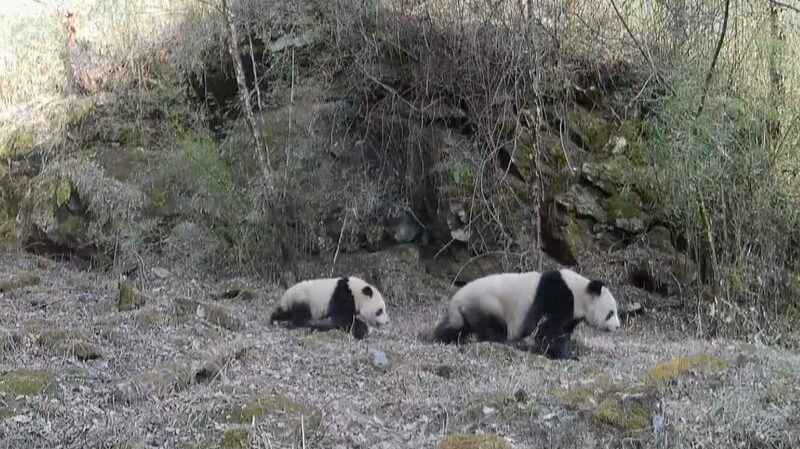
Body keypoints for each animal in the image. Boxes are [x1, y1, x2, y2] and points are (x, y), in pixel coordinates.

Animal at [432, 268, 620, 360]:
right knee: (494, 328)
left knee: (456, 327)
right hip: (488, 304)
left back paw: (439, 337)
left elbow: (563, 329)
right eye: (611, 313)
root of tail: (456, 300)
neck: (579, 291)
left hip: (468, 311)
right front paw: (568, 354)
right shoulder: (559, 296)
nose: (618, 327)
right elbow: (545, 330)